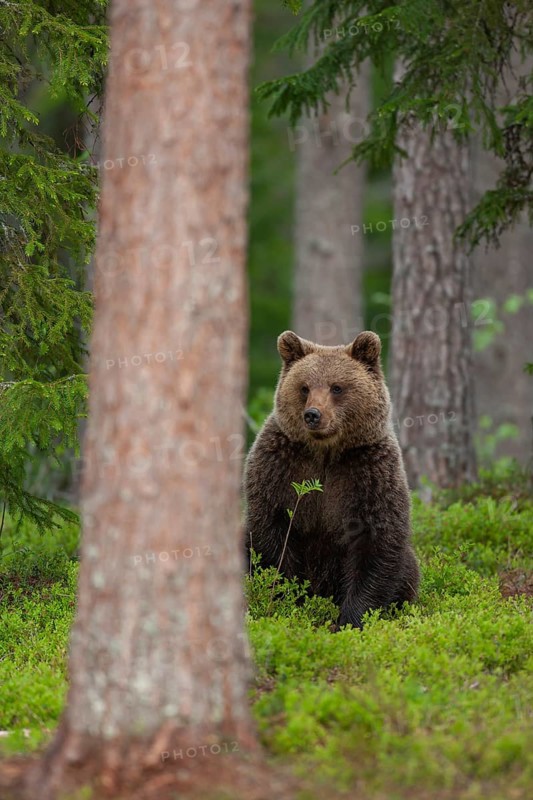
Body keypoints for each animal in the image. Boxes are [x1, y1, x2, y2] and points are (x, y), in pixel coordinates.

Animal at [244, 330, 420, 629]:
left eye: (336, 387)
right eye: (305, 387)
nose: (313, 414)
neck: (325, 452)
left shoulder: (369, 473)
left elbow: (376, 542)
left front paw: (351, 618)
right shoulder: (278, 466)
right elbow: (270, 532)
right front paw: (287, 601)